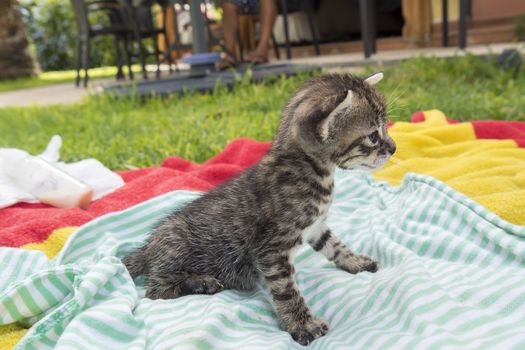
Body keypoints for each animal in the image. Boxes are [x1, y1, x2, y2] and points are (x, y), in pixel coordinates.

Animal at [123, 73, 392, 344]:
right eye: (372, 136)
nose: (393, 148)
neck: (313, 170)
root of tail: (148, 247)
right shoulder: (271, 250)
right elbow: (287, 290)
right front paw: (303, 323)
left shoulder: (316, 227)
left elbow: (336, 247)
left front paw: (355, 261)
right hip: (176, 248)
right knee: (155, 290)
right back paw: (201, 283)